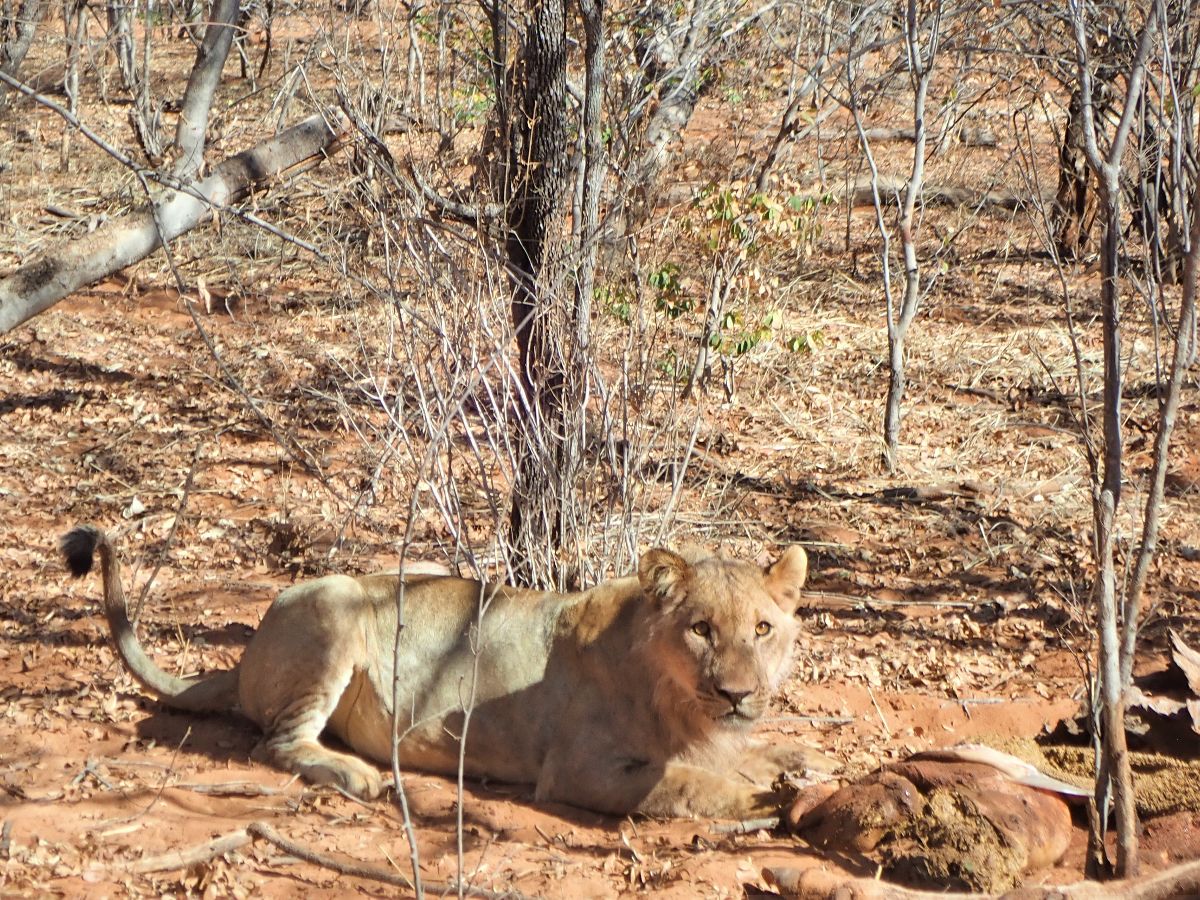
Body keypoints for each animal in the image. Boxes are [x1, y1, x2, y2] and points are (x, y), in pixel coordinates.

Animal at [62, 524, 820, 818]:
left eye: (762, 629)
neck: (680, 700)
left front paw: (800, 764)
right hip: (338, 605)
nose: (738, 693)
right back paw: (358, 775)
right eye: (701, 629)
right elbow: (687, 784)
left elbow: (744, 755)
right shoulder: (578, 771)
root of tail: (244, 654)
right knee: (275, 742)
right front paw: (764, 802)